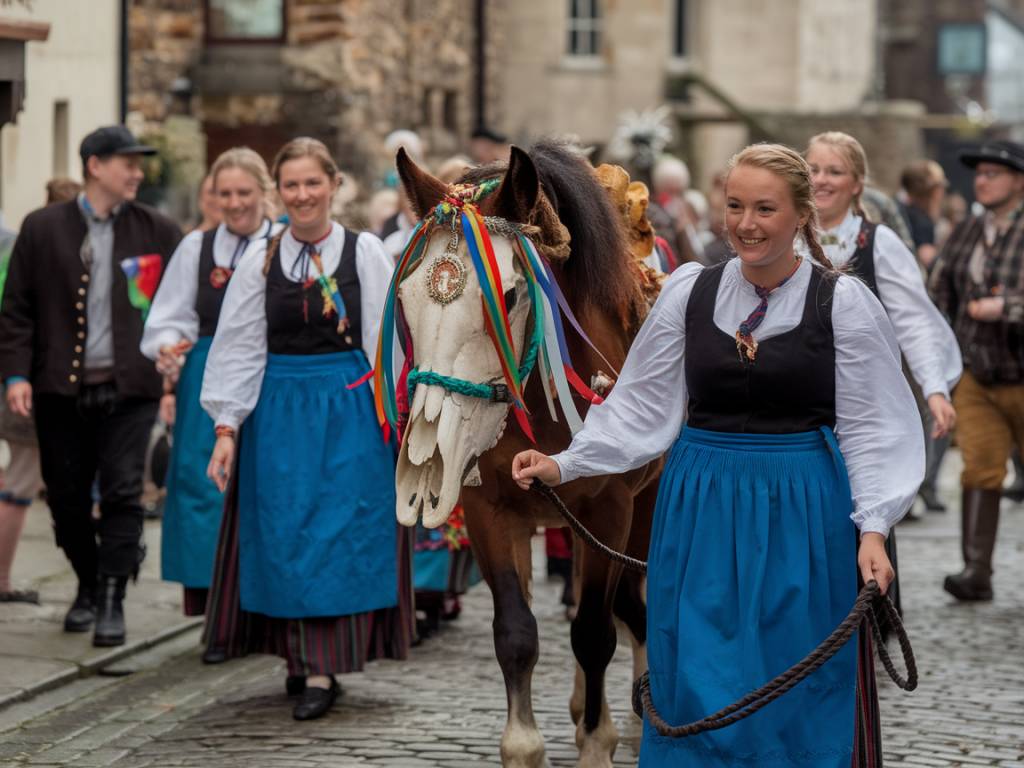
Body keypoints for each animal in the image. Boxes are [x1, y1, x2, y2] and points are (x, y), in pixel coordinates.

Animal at [391, 141, 663, 765]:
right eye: (405, 295)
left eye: (509, 294)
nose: (427, 463)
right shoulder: (491, 511)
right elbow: (516, 634)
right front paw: (525, 745)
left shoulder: (608, 510)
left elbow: (593, 634)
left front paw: (597, 745)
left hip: (648, 508)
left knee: (634, 608)